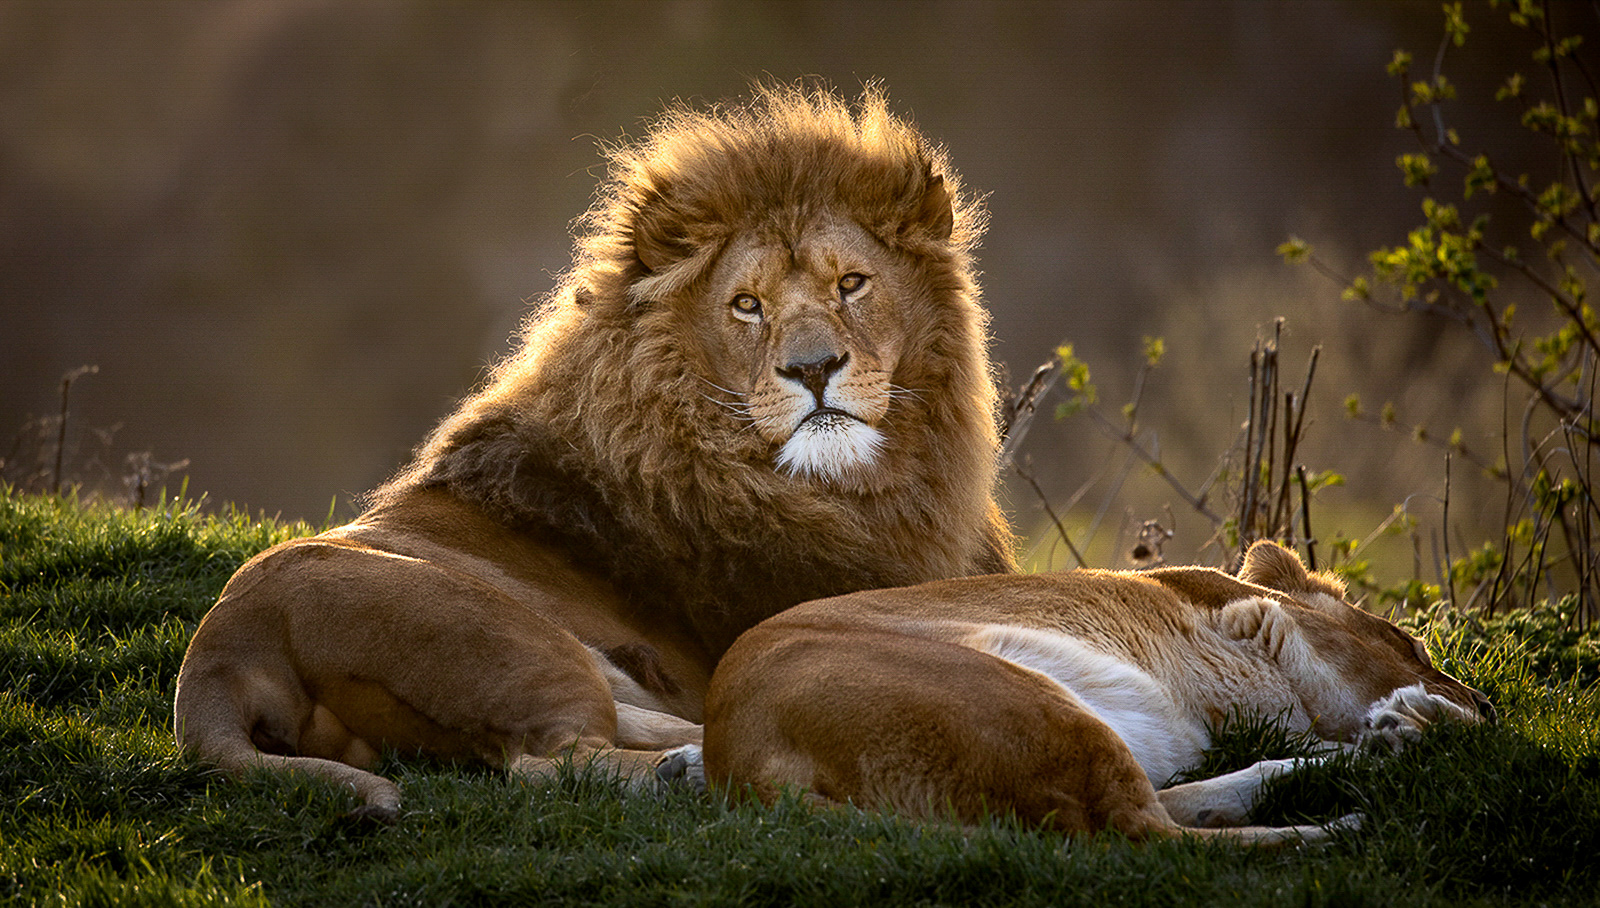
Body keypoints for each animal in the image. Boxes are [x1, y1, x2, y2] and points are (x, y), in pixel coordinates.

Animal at [172, 85, 1015, 820]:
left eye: (852, 284)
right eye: (747, 305)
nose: (813, 369)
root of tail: (222, 651)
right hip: (504, 633)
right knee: (552, 760)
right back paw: (685, 774)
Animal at [700, 541, 1493, 846]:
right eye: (1413, 645)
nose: (1488, 702)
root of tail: (737, 764)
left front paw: (1415, 723)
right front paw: (1442, 717)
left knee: (1191, 803)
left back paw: (1388, 753)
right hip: (1028, 698)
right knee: (1150, 835)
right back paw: (1355, 820)